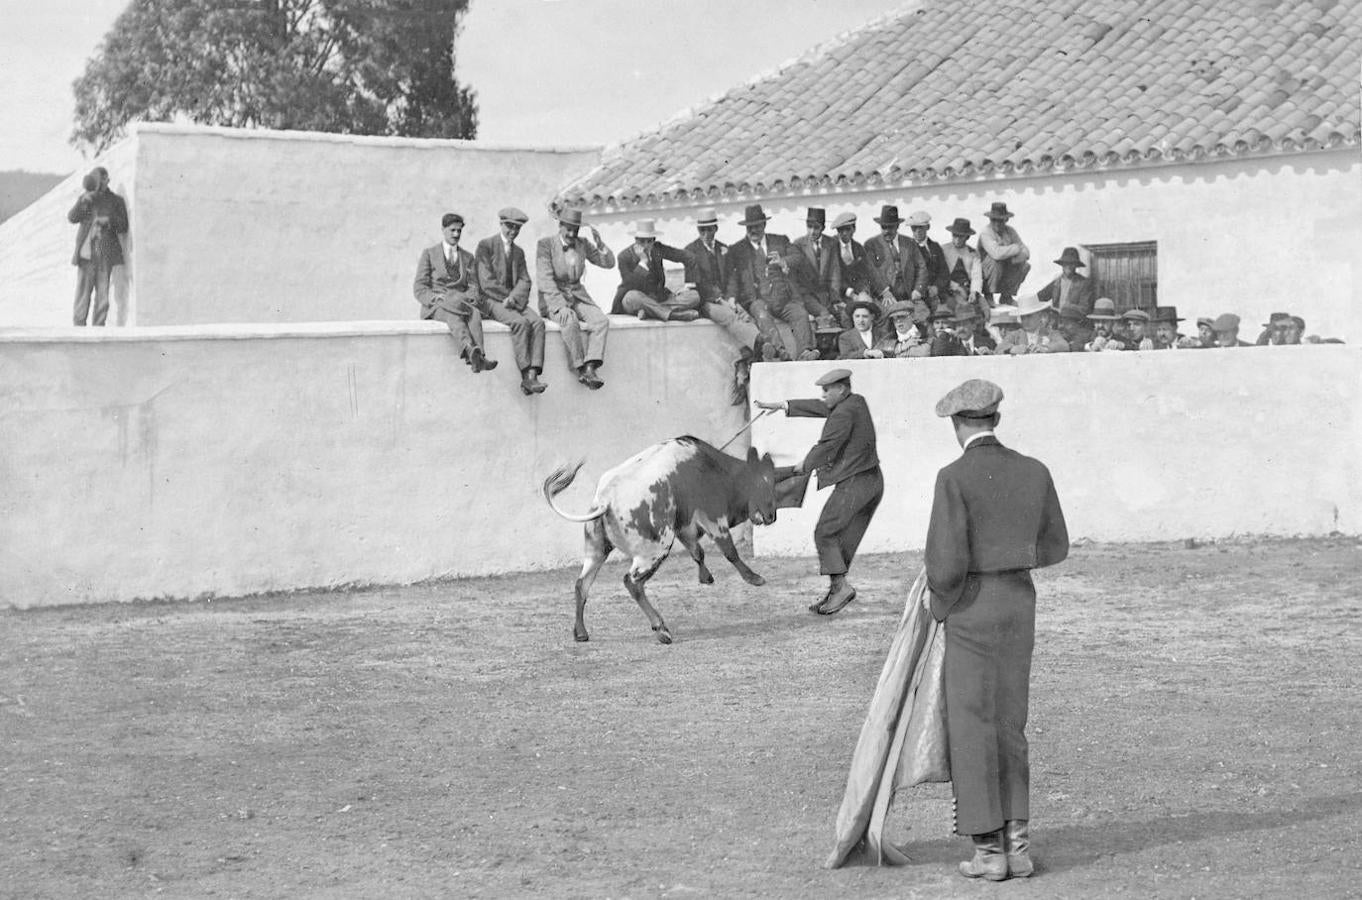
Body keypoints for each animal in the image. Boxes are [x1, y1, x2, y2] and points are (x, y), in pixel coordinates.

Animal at [542, 438, 779, 642]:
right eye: (764, 483)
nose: (772, 516)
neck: (711, 467)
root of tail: (605, 500)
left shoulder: (684, 526)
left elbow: (698, 551)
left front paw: (706, 577)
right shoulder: (713, 517)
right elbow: (729, 550)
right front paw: (754, 578)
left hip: (596, 550)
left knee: (582, 584)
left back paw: (581, 632)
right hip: (656, 549)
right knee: (632, 582)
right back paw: (661, 629)